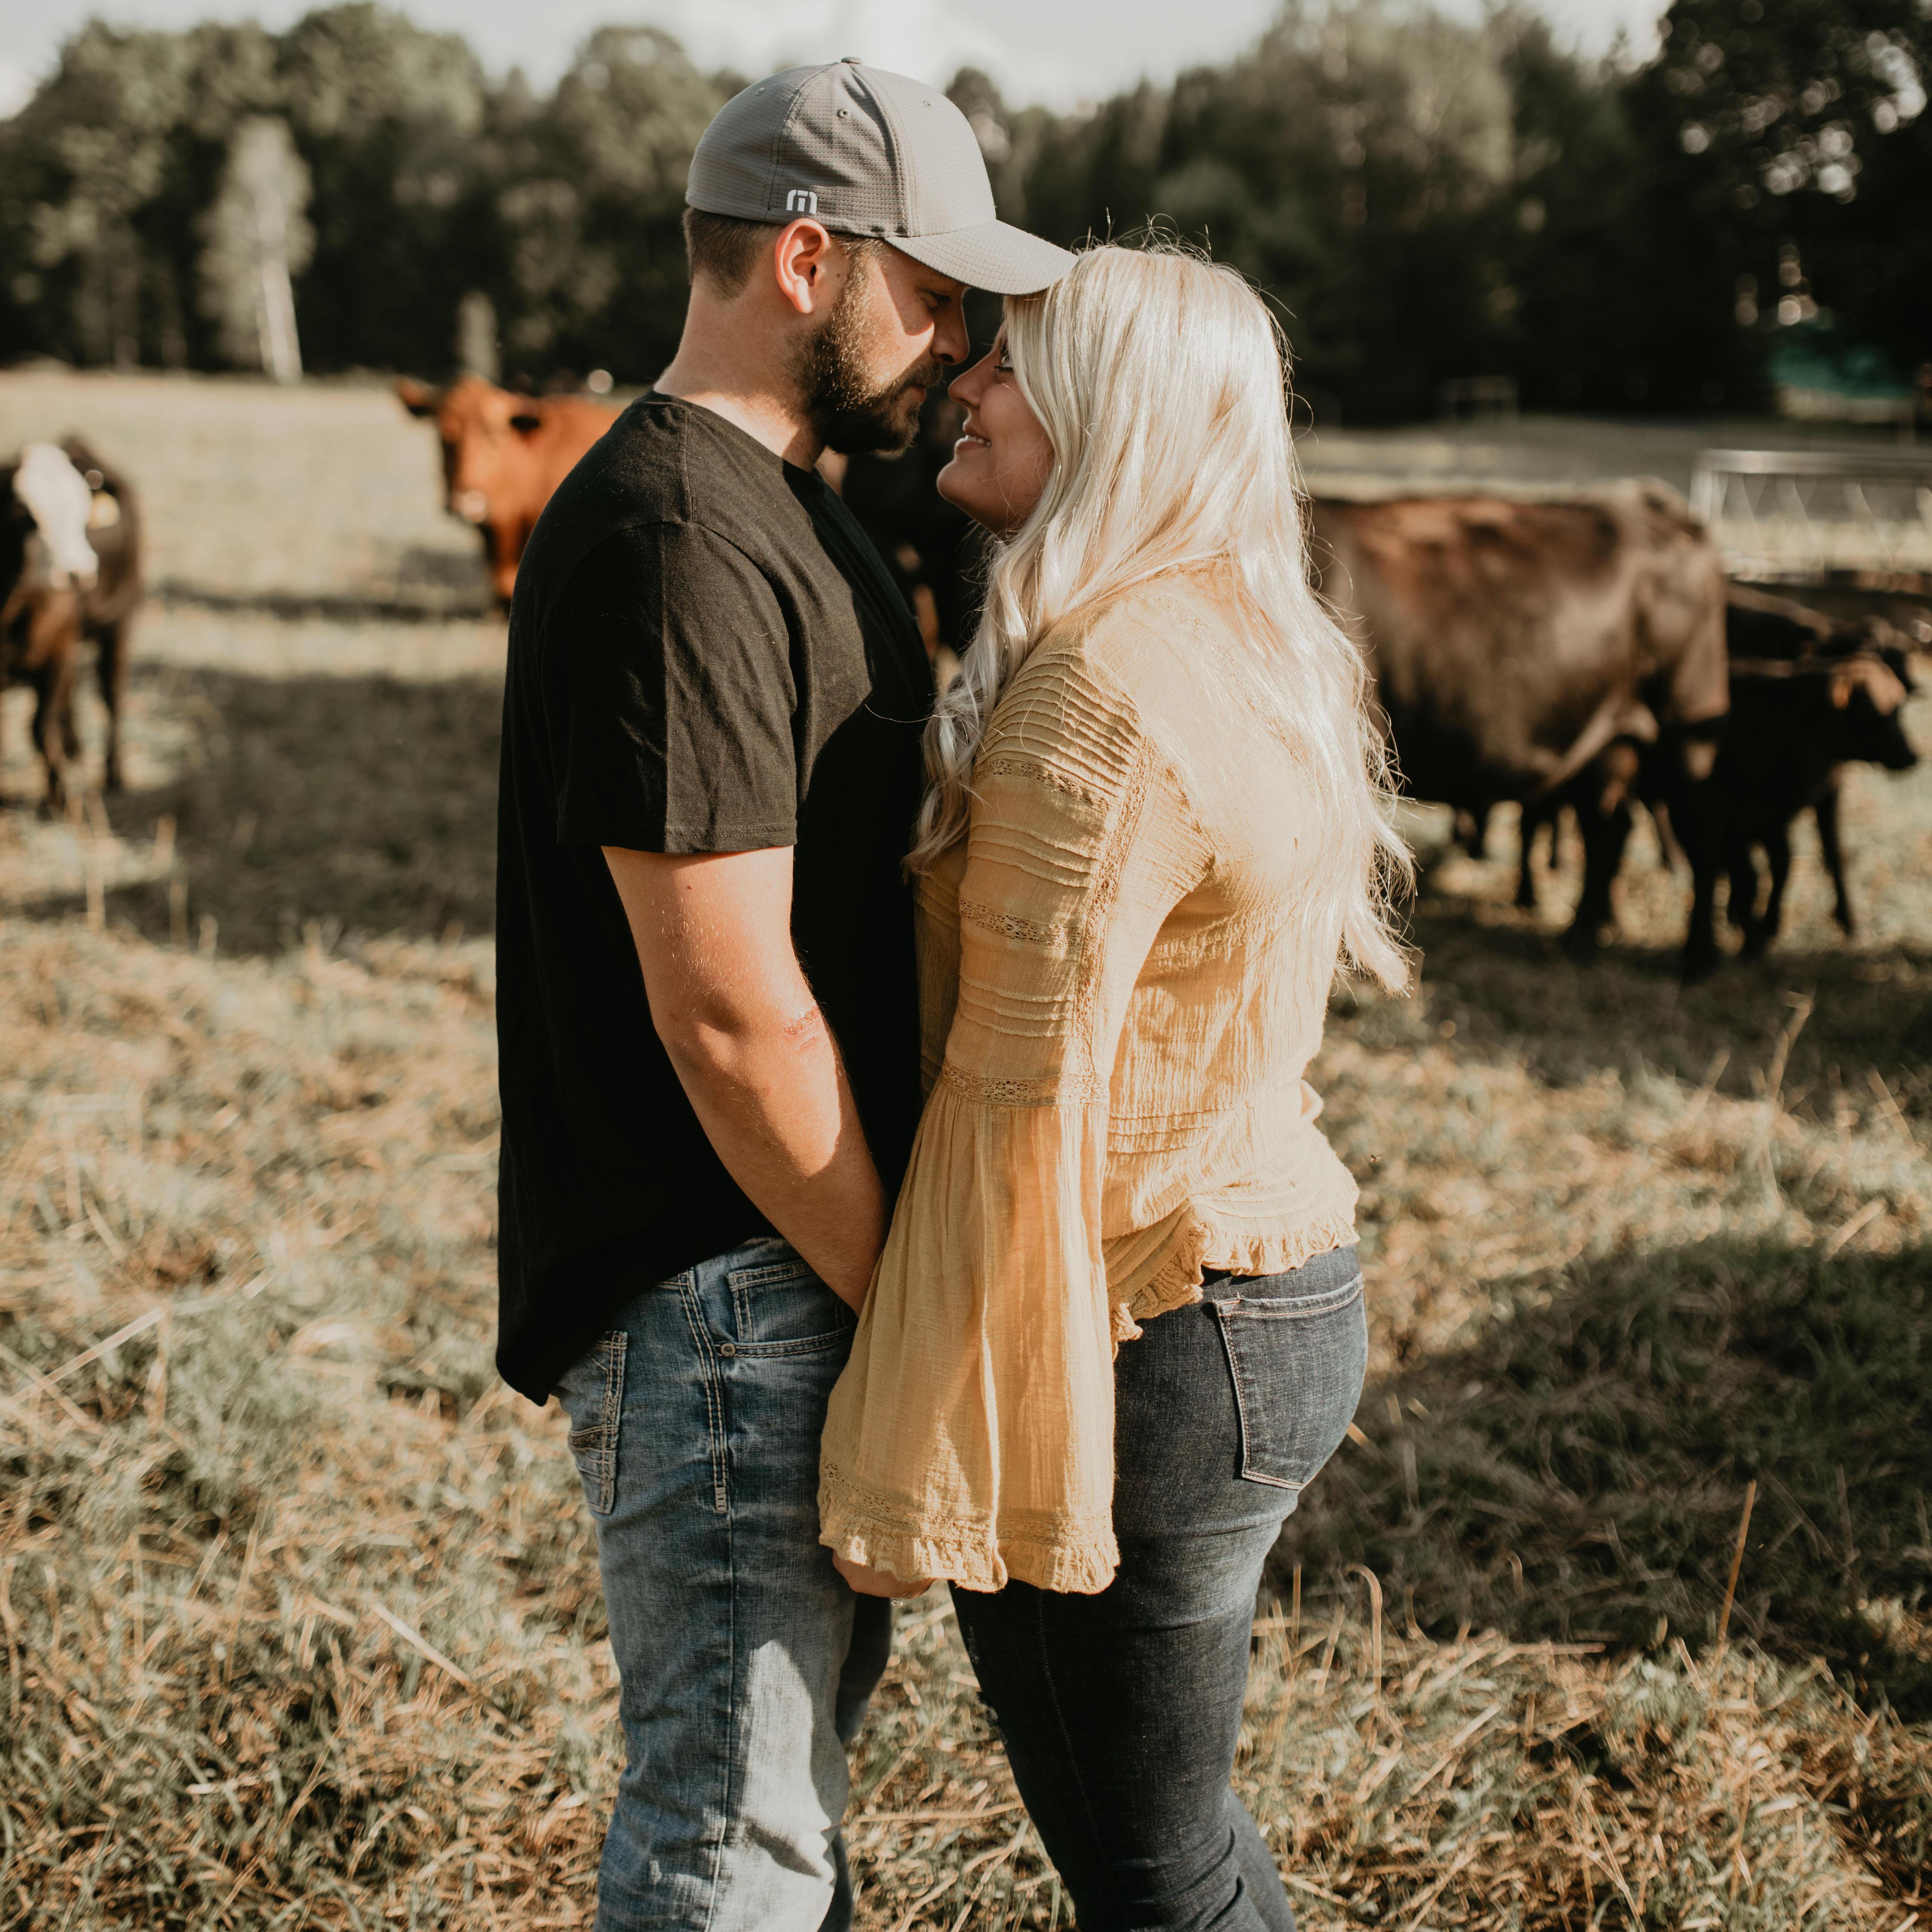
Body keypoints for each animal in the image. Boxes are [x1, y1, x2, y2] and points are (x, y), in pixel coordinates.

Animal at [1306, 477, 1731, 973]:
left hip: (1686, 731)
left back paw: (1698, 956)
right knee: (1608, 831)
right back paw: (1581, 936)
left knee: (1704, 834)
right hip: (1606, 741)